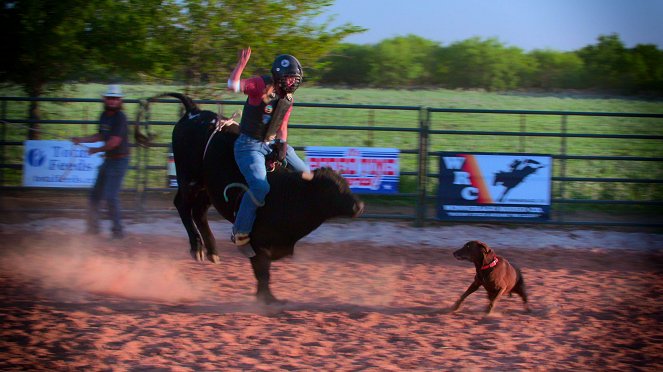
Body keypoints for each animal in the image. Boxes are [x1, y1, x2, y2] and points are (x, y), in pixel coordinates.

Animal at [158, 92, 364, 302]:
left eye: (346, 185)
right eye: (331, 190)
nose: (359, 206)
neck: (288, 194)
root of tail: (194, 112)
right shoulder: (257, 244)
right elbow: (262, 271)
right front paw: (267, 299)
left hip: (207, 188)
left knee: (199, 213)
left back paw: (213, 252)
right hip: (189, 178)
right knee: (182, 205)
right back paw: (197, 247)